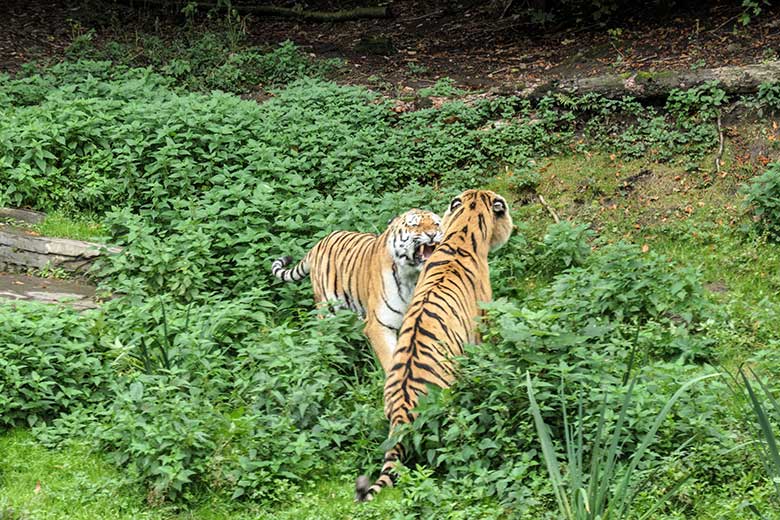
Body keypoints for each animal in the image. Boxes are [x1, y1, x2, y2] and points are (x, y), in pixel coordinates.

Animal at [270, 207, 442, 374]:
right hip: (328, 312)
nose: (432, 235)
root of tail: (319, 243)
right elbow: (391, 360)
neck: (412, 276)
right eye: (415, 225)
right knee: (321, 337)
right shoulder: (379, 324)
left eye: (436, 224)